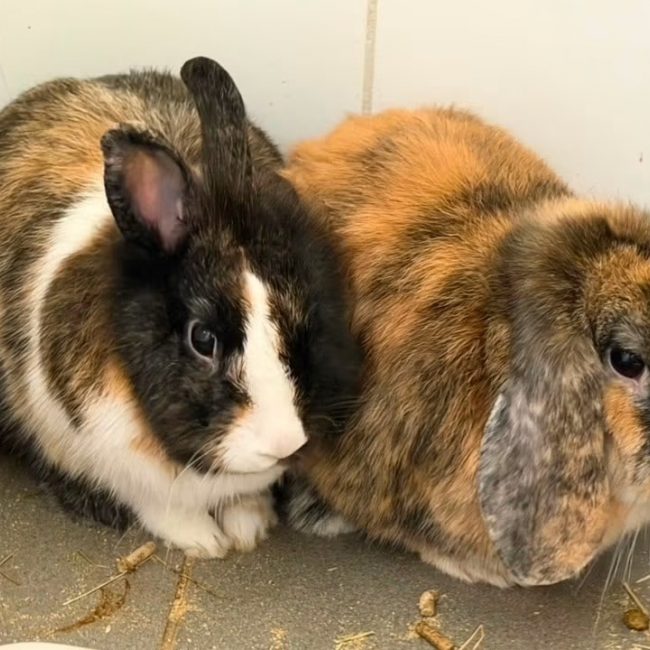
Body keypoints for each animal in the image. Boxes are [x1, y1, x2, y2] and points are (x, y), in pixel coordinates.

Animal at [0, 56, 360, 558]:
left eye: (305, 317)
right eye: (202, 338)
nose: (283, 443)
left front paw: (249, 526)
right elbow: (157, 505)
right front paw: (204, 542)